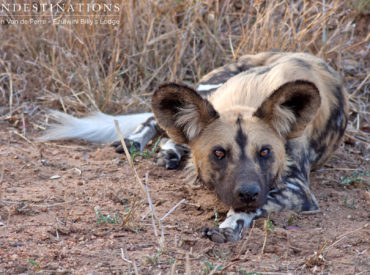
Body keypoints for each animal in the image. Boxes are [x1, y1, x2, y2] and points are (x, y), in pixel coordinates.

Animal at [41, 52, 350, 244]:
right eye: (219, 153)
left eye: (265, 153)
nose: (248, 193)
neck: (248, 96)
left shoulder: (299, 191)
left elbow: (252, 207)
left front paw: (230, 226)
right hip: (203, 90)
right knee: (158, 120)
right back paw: (141, 143)